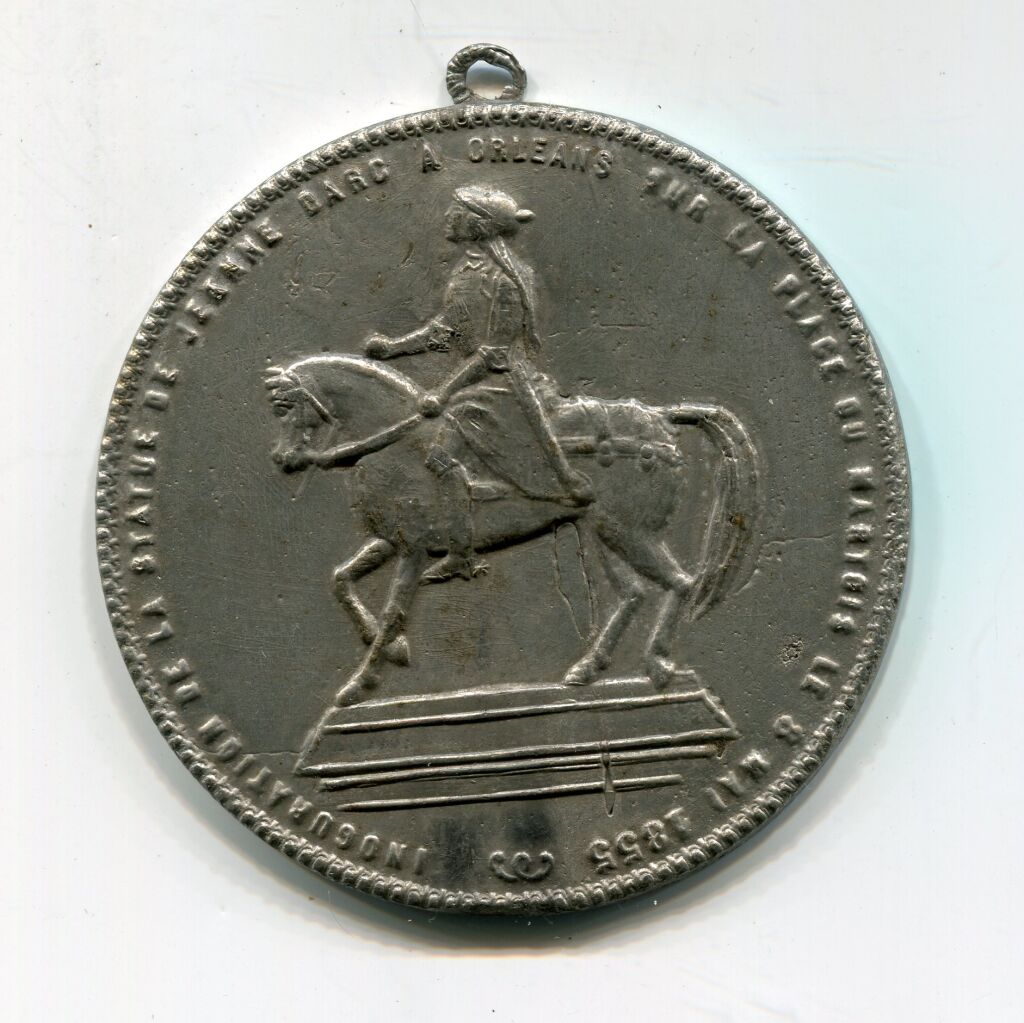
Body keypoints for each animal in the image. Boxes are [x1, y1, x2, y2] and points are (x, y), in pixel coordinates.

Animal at [264, 354, 761, 706]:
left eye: (287, 408)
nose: (283, 460)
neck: (398, 443)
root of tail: (662, 419)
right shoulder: (392, 540)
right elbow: (341, 579)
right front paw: (393, 649)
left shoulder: (414, 550)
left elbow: (394, 611)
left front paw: (360, 683)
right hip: (601, 531)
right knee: (634, 592)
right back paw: (587, 669)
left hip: (627, 530)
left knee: (681, 582)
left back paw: (657, 666)